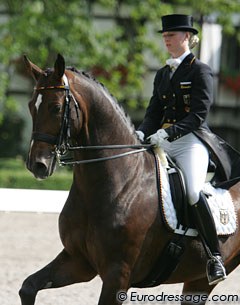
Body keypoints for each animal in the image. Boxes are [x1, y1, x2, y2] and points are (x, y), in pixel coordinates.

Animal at [19, 54, 240, 304]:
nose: (37, 165)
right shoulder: (78, 261)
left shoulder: (117, 275)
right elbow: (28, 287)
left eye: (56, 108)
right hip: (197, 279)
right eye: (31, 106)